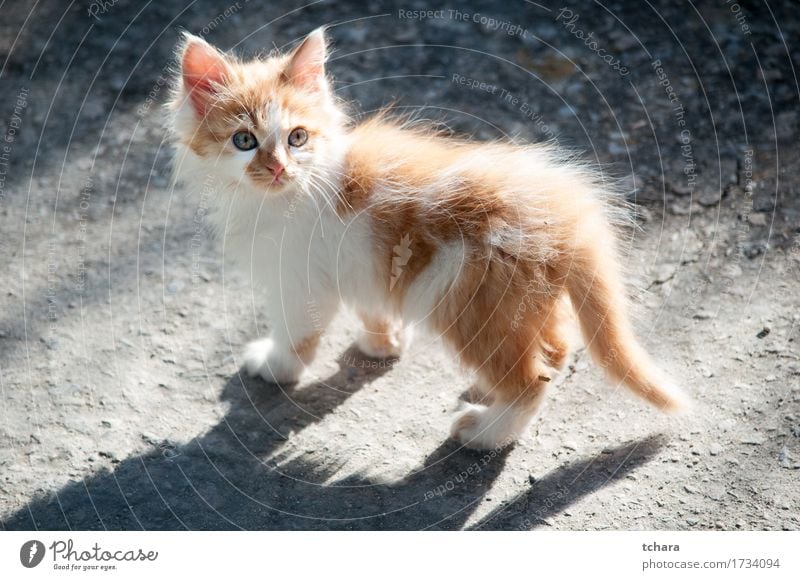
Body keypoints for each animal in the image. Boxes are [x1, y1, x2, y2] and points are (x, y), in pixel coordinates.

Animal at [167, 29, 688, 450]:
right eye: (244, 140)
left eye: (297, 138)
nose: (277, 169)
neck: (292, 190)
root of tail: (571, 215)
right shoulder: (363, 263)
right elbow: (374, 305)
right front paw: (383, 344)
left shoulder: (297, 281)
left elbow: (296, 334)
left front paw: (275, 367)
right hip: (524, 301)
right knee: (554, 351)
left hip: (472, 302)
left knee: (530, 381)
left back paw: (486, 433)